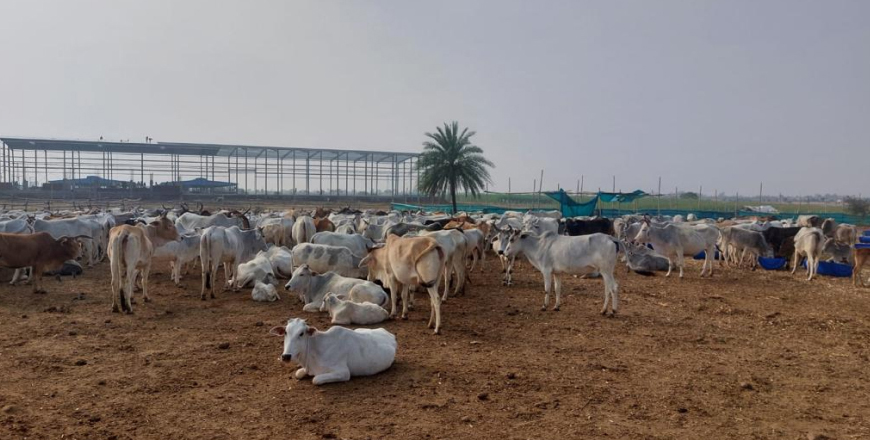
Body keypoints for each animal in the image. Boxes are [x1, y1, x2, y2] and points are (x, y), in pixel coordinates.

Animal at [270, 316, 398, 384]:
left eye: (301, 333)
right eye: (285, 332)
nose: (286, 356)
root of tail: (387, 333)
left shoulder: (343, 373)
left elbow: (315, 379)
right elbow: (298, 373)